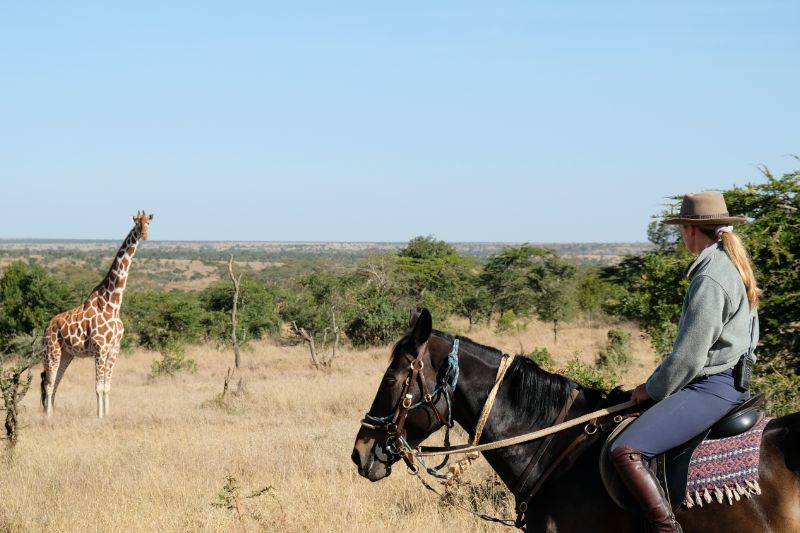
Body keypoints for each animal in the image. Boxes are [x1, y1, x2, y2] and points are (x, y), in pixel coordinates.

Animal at [40, 210, 154, 418]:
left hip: (67, 354)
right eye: (136, 223)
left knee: (56, 382)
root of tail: (47, 327)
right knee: (48, 384)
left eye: (148, 222)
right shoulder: (100, 348)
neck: (113, 304)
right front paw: (99, 416)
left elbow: (107, 386)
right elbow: (98, 387)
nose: (144, 235)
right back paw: (48, 418)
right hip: (51, 351)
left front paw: (107, 415)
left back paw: (51, 414)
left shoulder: (115, 348)